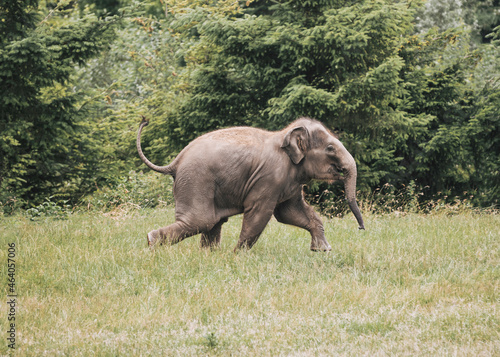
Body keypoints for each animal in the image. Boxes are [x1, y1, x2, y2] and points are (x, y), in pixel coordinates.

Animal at [137, 117, 364, 250]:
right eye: (330, 149)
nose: (361, 228)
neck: (284, 134)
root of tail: (176, 161)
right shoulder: (269, 177)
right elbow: (260, 213)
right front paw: (238, 255)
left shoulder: (289, 181)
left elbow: (291, 212)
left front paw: (322, 250)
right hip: (196, 181)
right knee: (201, 220)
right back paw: (151, 242)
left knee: (212, 222)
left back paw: (209, 255)